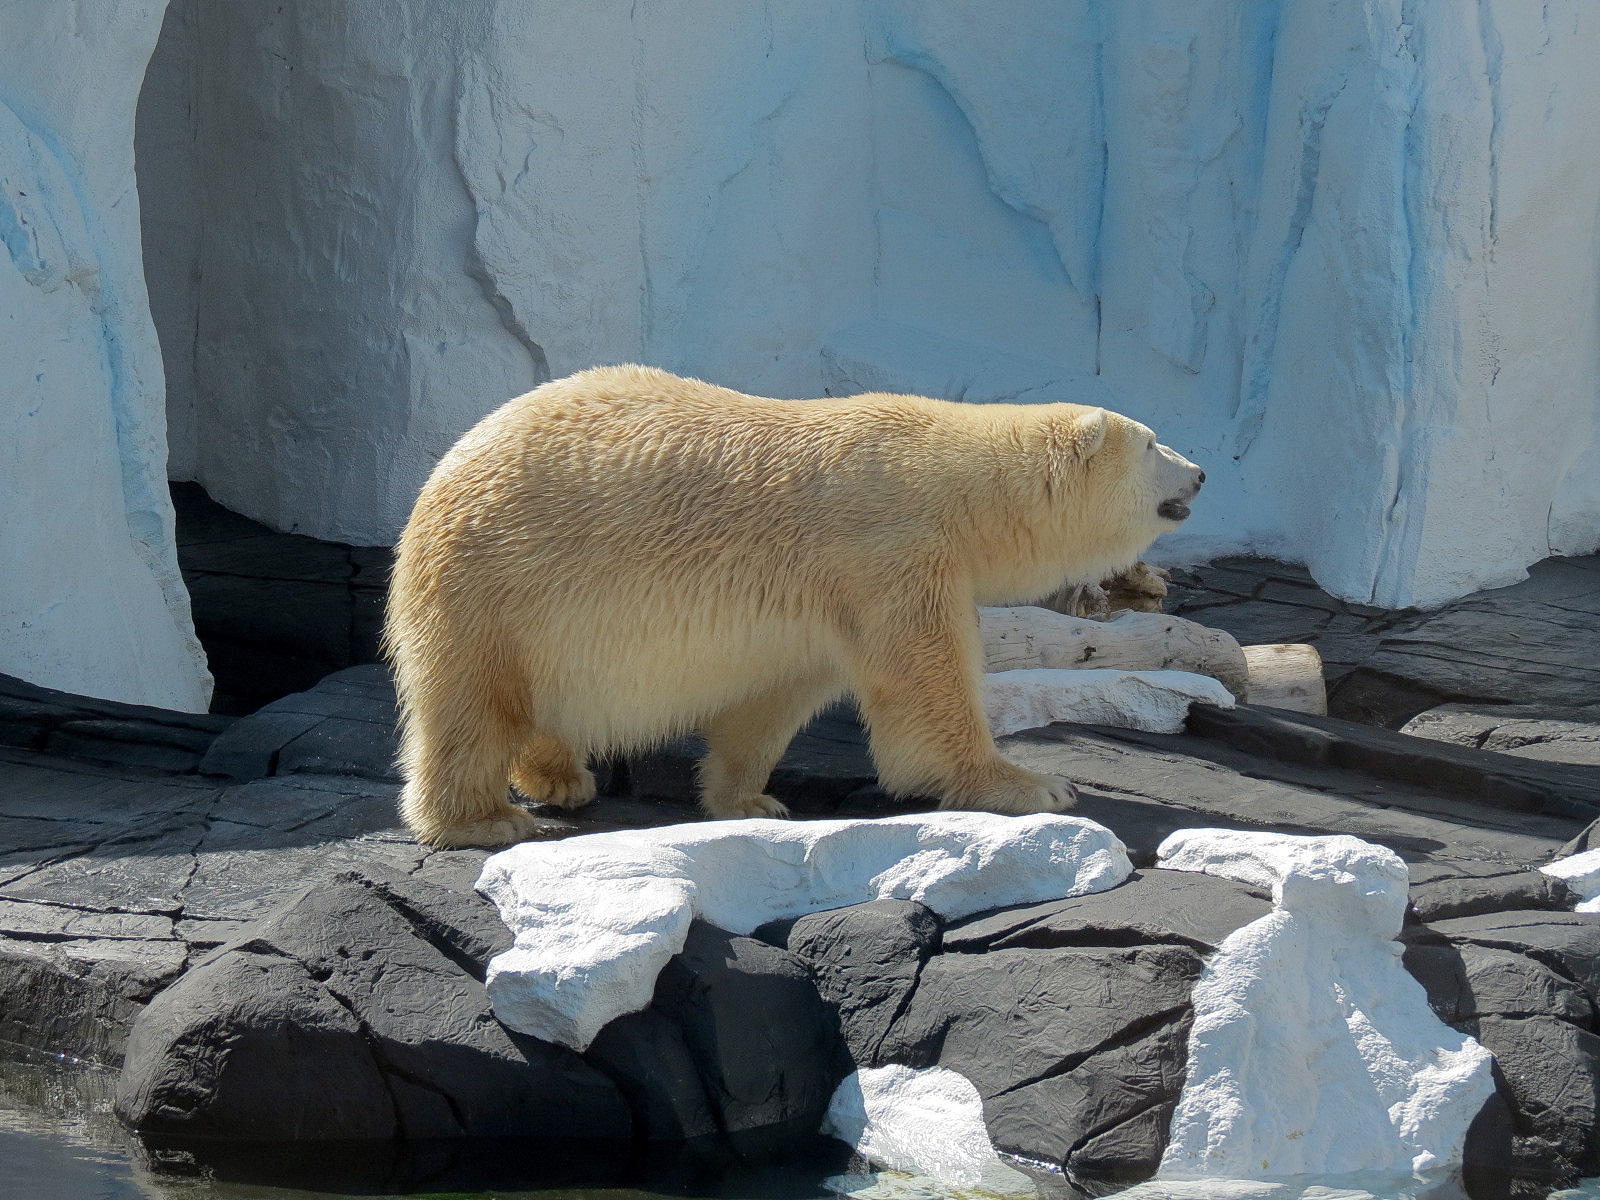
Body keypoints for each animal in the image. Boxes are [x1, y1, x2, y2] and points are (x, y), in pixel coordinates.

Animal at [385, 365, 1204, 848]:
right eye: (1153, 441)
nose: (1199, 472)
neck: (956, 480)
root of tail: (444, 469)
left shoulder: (824, 597)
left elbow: (775, 695)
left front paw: (749, 801)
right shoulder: (890, 551)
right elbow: (927, 688)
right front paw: (1035, 784)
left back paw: (560, 775)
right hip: (499, 583)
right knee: (472, 702)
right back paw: (483, 818)